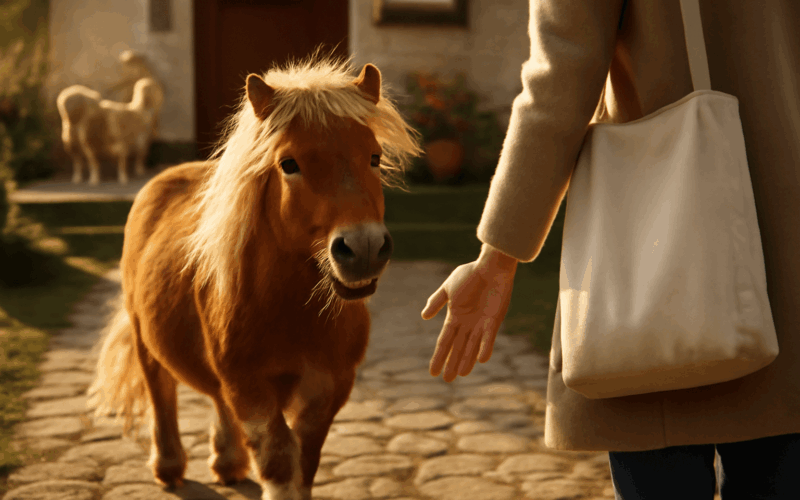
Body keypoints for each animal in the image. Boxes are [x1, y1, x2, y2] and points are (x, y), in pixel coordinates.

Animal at [87, 57, 421, 500]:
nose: (363, 247)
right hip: (146, 340)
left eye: (374, 157)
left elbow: (305, 459)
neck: (294, 312)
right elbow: (278, 459)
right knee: (162, 395)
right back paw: (169, 466)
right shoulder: (250, 387)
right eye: (289, 164)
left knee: (215, 399)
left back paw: (228, 464)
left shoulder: (329, 386)